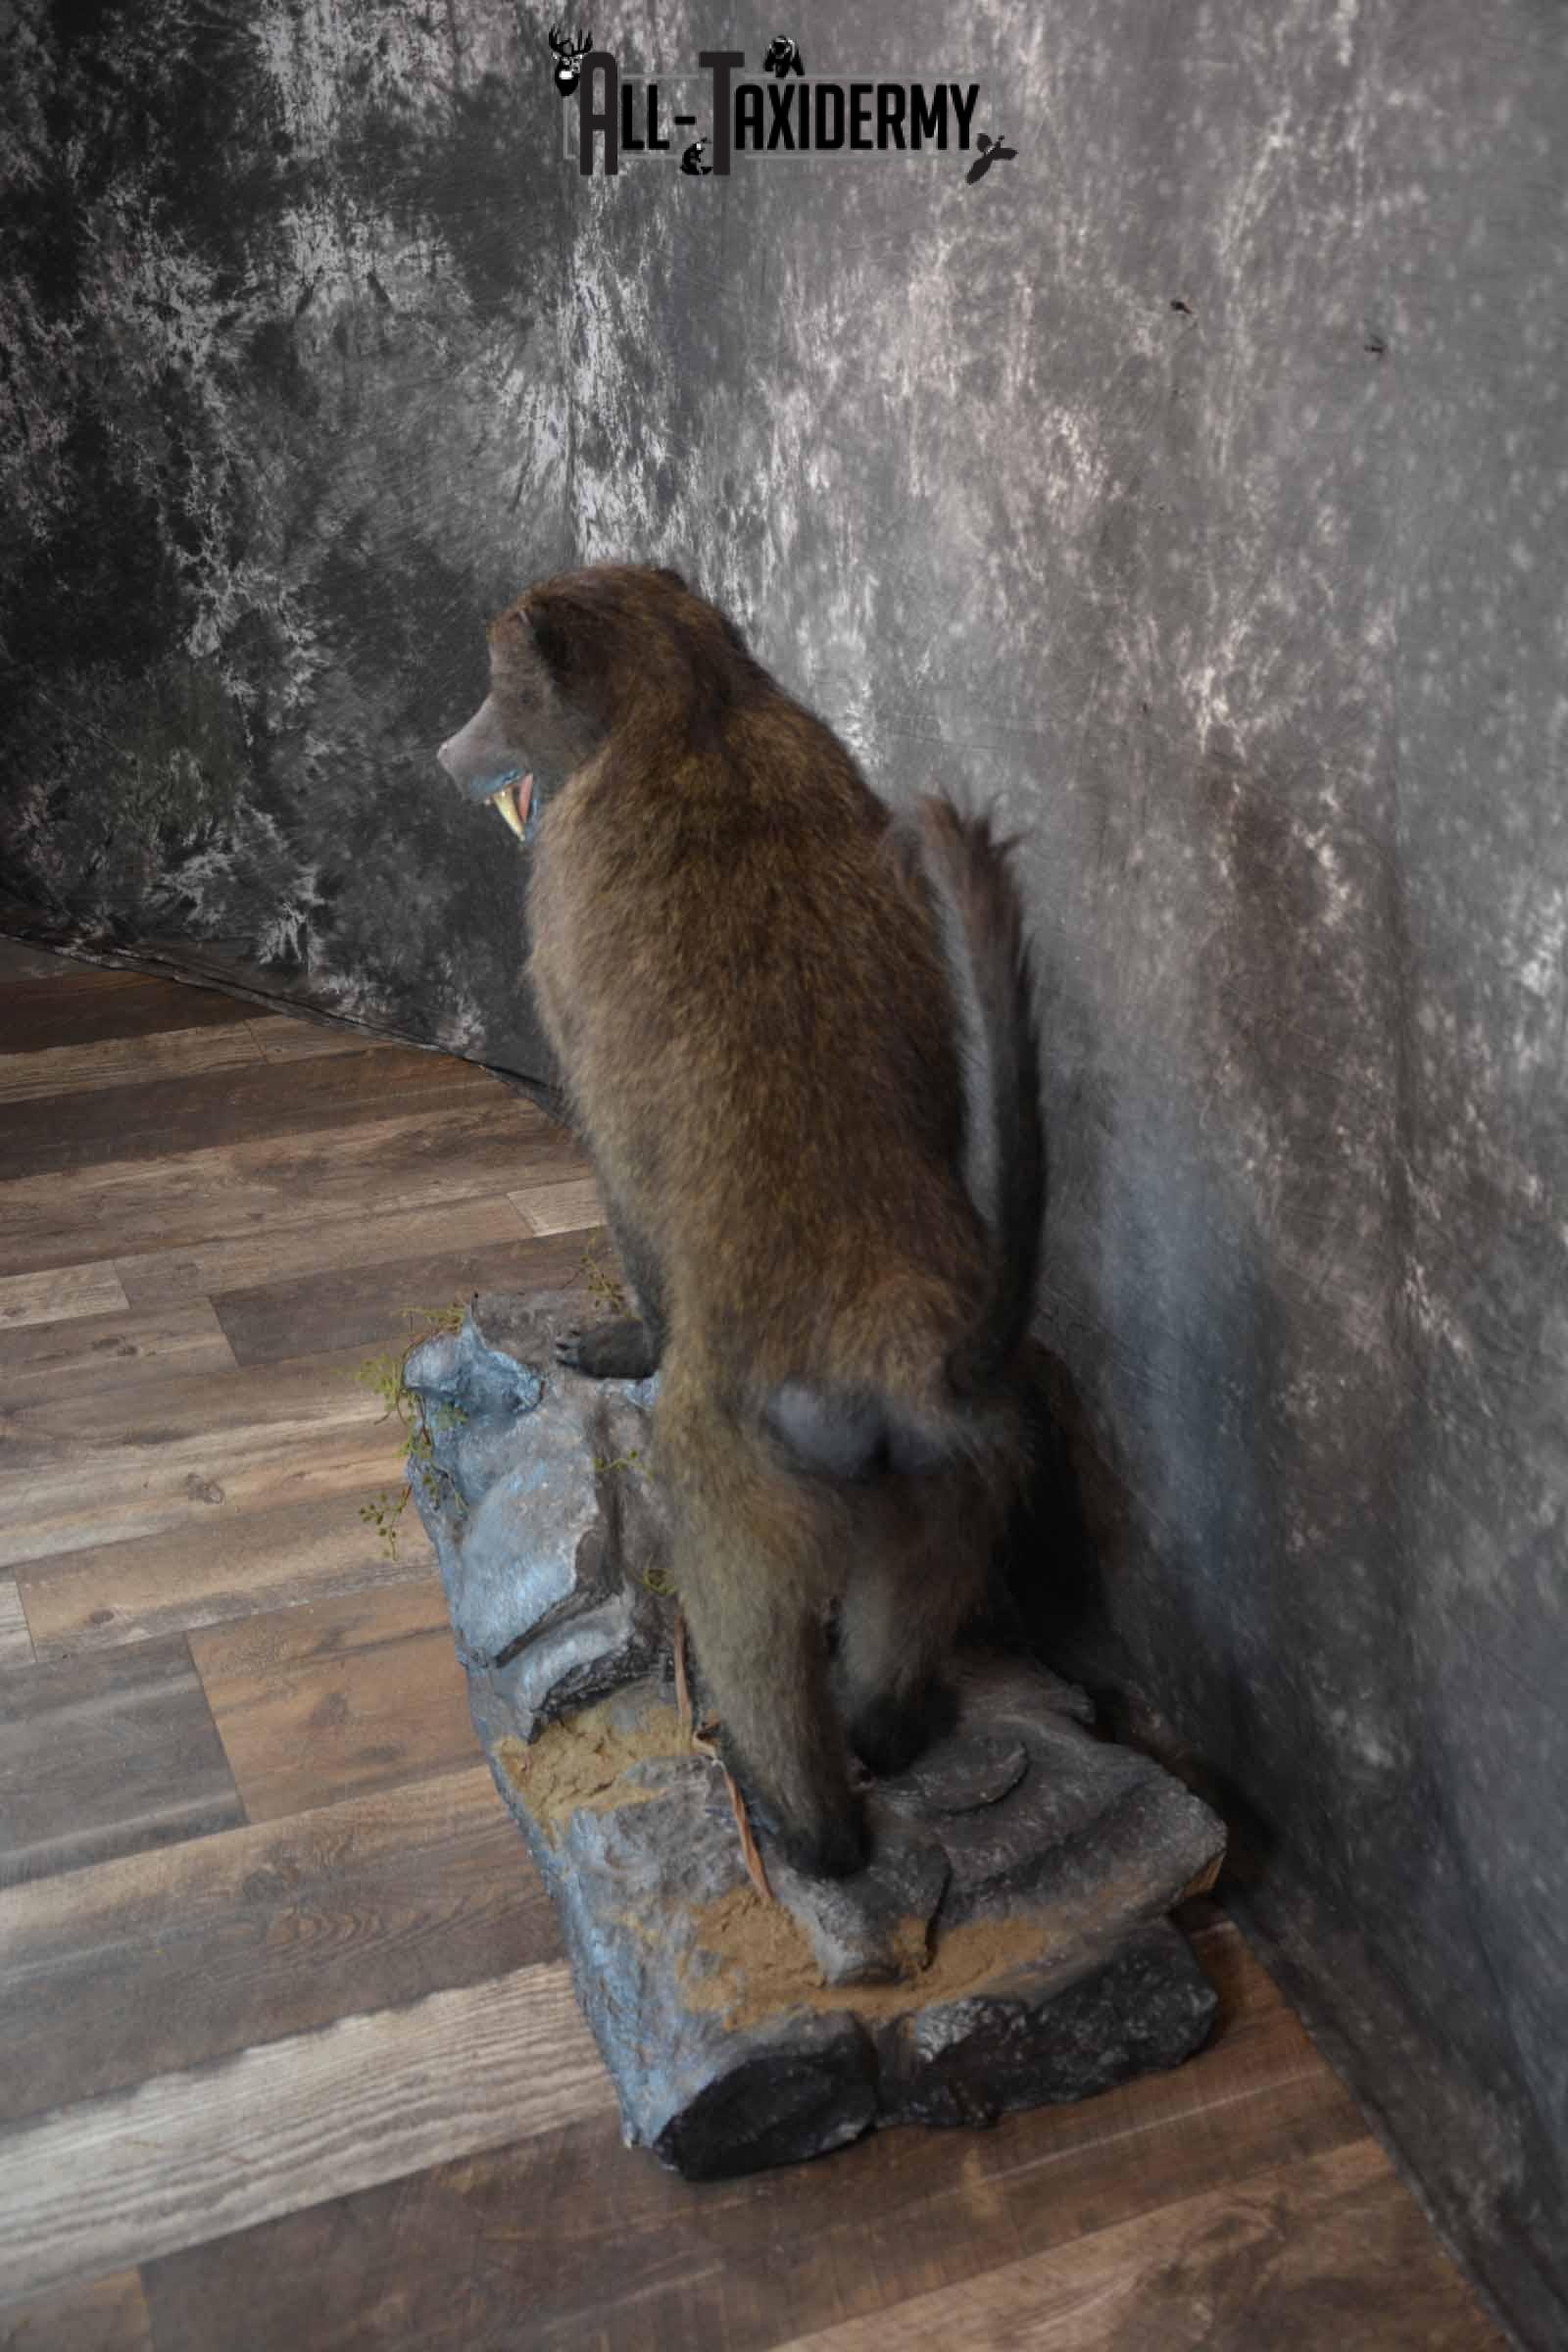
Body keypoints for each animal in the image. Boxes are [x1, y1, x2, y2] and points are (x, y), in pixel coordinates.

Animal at [437, 564, 1044, 1879]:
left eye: (498, 685)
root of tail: (893, 1322)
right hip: (954, 1467)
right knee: (900, 1626)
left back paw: (797, 1820)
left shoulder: (566, 897)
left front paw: (624, 1346)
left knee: (747, 1607)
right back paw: (891, 1726)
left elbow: (622, 1170)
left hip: (752, 1462)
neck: (689, 702)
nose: (447, 749)